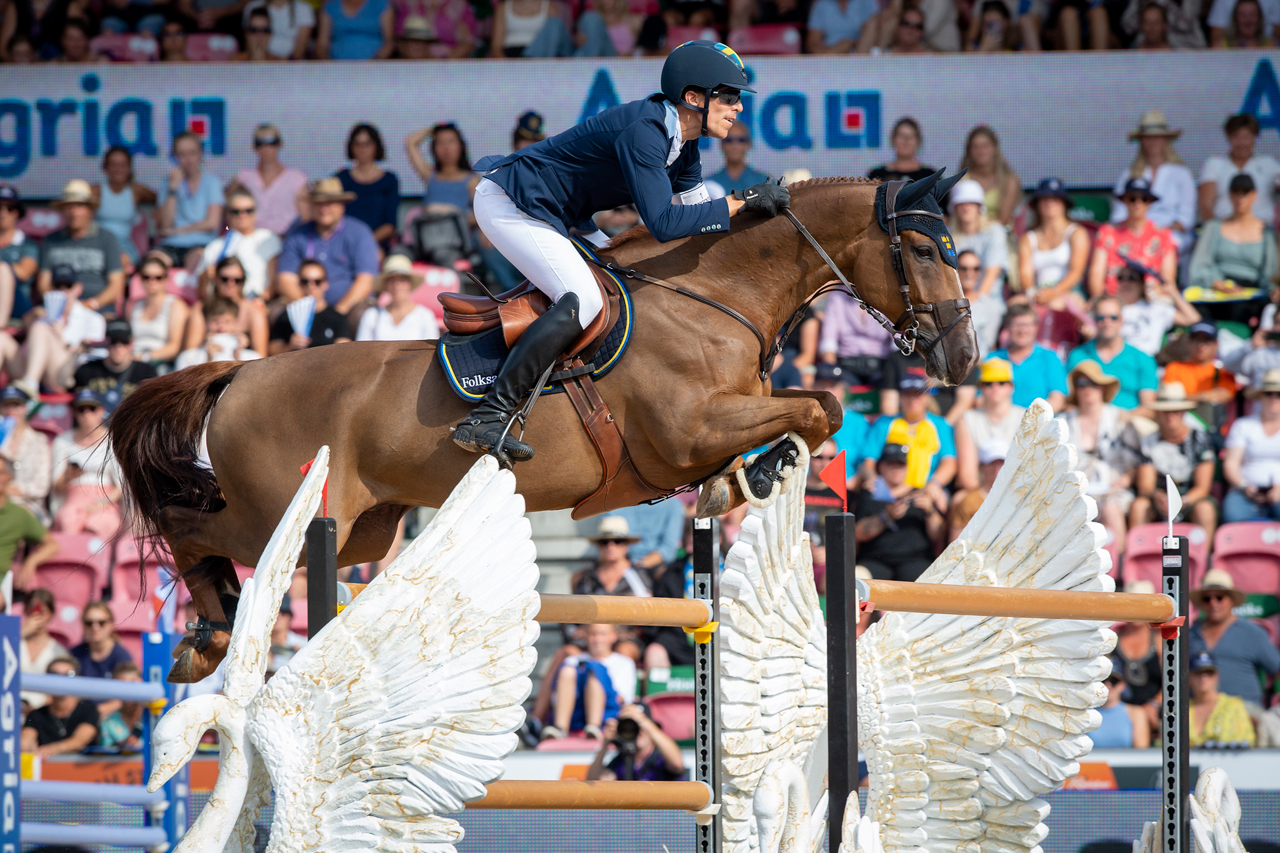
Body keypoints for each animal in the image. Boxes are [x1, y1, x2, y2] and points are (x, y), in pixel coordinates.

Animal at [109, 169, 979, 682]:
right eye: (924, 249)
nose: (964, 355)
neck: (712, 296)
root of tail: (241, 370)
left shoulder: (713, 426)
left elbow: (819, 405)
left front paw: (745, 479)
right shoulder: (687, 432)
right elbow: (816, 407)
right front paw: (760, 472)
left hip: (361, 528)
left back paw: (211, 632)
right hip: (286, 517)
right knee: (189, 527)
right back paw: (208, 634)